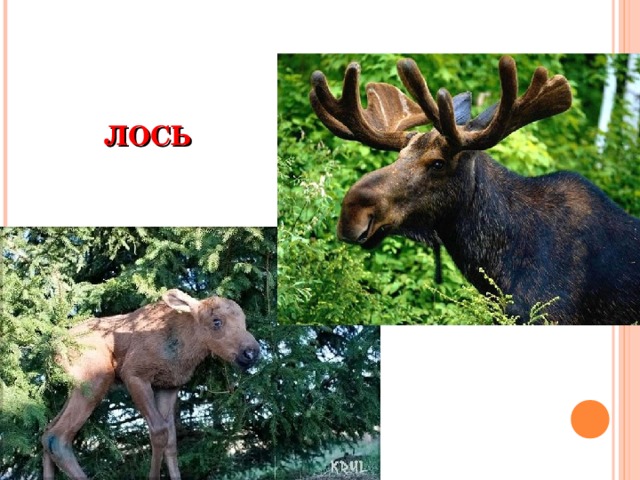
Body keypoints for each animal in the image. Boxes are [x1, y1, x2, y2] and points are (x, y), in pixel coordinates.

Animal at [41, 288, 261, 479]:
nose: (251, 352)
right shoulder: (134, 374)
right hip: (95, 378)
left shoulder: (169, 386)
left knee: (46, 431)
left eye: (244, 321)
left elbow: (171, 441)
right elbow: (159, 431)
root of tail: (52, 351)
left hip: (76, 385)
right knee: (57, 438)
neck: (185, 349)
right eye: (216, 322)